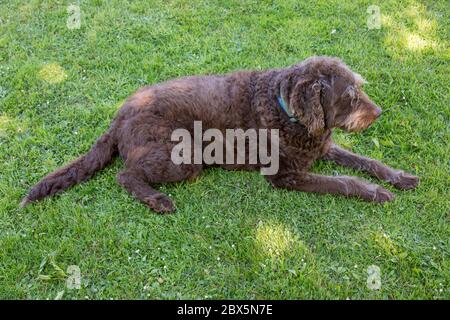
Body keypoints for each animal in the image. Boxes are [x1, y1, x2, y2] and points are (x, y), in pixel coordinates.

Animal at [22, 57, 418, 212]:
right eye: (350, 97)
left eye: (360, 89)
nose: (379, 113)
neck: (288, 113)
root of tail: (119, 117)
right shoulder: (285, 175)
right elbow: (343, 182)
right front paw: (375, 192)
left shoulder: (323, 147)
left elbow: (367, 161)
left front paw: (397, 177)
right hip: (184, 157)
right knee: (125, 174)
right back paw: (156, 199)